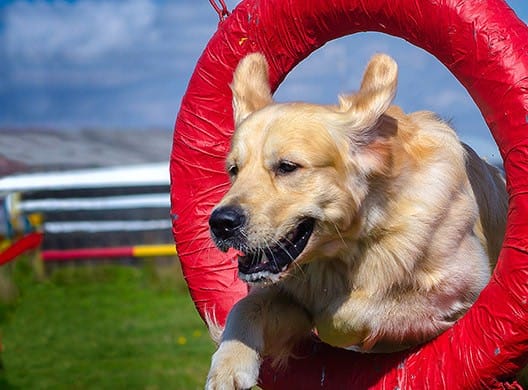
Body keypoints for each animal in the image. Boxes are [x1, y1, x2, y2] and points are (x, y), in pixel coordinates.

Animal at [203, 52, 508, 390]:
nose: (220, 223)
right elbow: (246, 306)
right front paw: (228, 367)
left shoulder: (462, 284)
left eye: (287, 167)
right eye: (233, 170)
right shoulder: (291, 292)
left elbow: (349, 311)